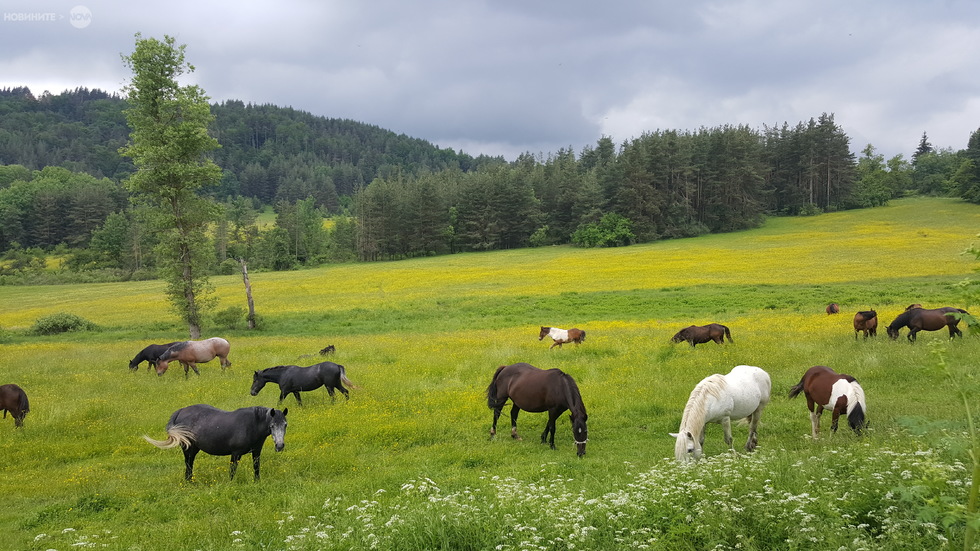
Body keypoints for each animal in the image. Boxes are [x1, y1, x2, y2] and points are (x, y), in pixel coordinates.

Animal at [144, 404, 288, 480]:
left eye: (285, 425)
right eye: (272, 426)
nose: (280, 446)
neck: (252, 424)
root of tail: (181, 411)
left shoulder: (256, 452)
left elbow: (256, 467)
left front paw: (257, 482)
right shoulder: (235, 453)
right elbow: (232, 470)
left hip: (194, 448)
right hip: (187, 447)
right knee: (188, 464)